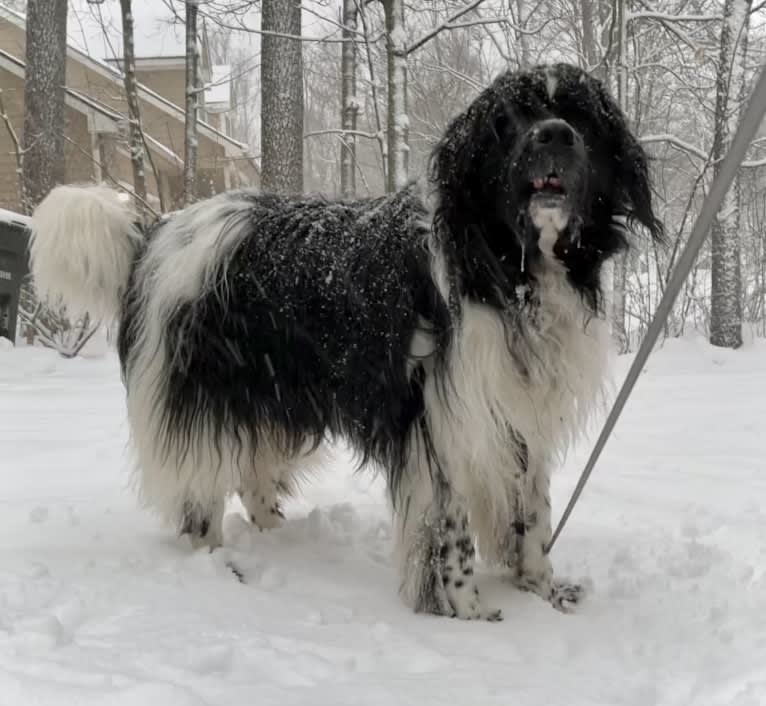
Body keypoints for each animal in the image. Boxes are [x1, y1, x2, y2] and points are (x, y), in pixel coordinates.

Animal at [30, 63, 664, 620]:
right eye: (510, 119)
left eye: (581, 116)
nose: (554, 133)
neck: (507, 269)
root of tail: (157, 232)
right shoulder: (446, 420)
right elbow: (452, 534)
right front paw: (468, 613)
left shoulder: (520, 412)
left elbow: (533, 515)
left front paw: (542, 590)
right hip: (202, 397)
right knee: (201, 497)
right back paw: (219, 566)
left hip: (270, 398)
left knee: (253, 479)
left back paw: (279, 536)